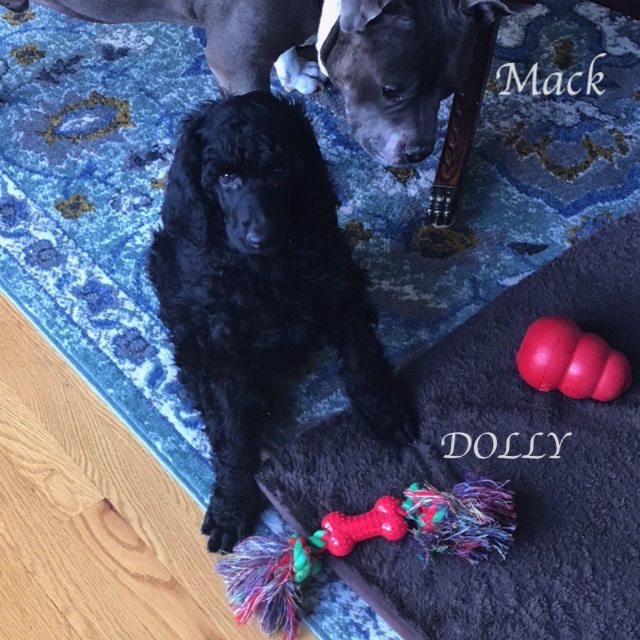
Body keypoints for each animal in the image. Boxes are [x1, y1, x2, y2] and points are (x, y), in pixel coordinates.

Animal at [147, 92, 416, 553]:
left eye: (278, 171)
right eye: (226, 177)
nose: (261, 237)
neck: (266, 269)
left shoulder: (340, 288)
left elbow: (363, 361)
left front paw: (387, 412)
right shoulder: (221, 346)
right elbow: (233, 435)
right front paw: (232, 505)